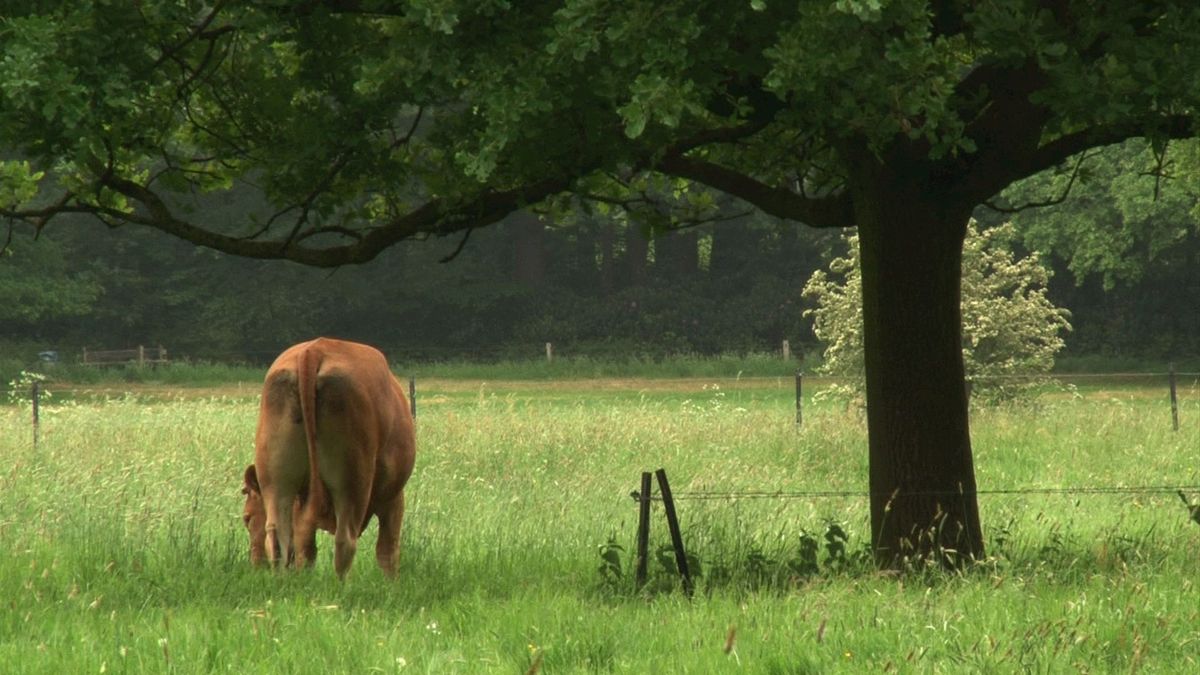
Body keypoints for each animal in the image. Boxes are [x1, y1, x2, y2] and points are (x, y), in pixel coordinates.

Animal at [240, 338, 416, 578]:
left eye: (247, 518)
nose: (255, 563)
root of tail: (313, 350)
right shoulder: (393, 497)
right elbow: (387, 550)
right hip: (353, 482)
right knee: (344, 541)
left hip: (277, 479)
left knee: (281, 540)